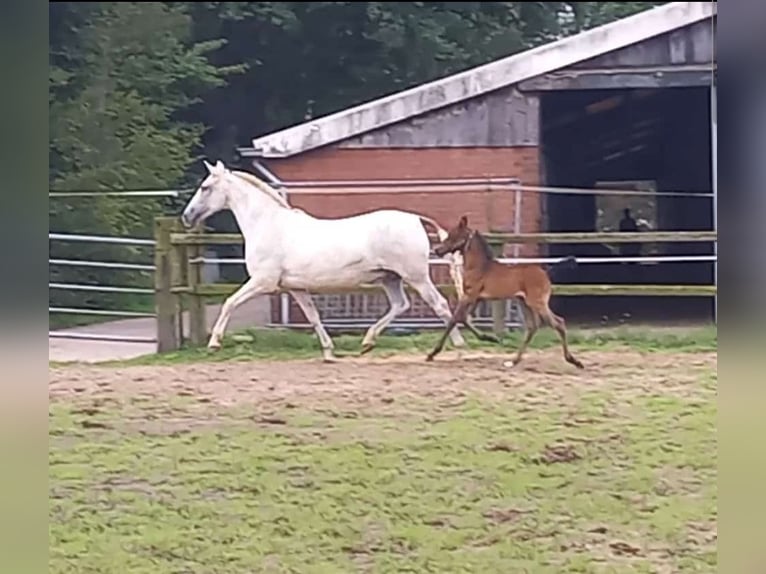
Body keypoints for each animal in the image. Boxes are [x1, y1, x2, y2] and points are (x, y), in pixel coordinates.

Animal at [182, 160, 468, 362]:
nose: (187, 216)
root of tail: (416, 219)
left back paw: (457, 348)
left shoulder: (263, 282)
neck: (268, 224)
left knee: (440, 305)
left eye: (205, 187)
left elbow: (229, 302)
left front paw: (214, 343)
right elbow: (313, 316)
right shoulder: (295, 288)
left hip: (415, 277)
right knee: (401, 305)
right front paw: (329, 352)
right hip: (390, 278)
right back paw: (367, 342)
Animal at [426, 215, 588, 368]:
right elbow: (464, 318)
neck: (480, 267)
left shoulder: (469, 296)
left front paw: (432, 353)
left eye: (453, 235)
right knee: (532, 327)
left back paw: (574, 361)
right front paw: (490, 338)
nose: (437, 250)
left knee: (558, 322)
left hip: (537, 303)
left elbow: (455, 319)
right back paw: (513, 361)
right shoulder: (476, 298)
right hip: (524, 303)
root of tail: (546, 272)